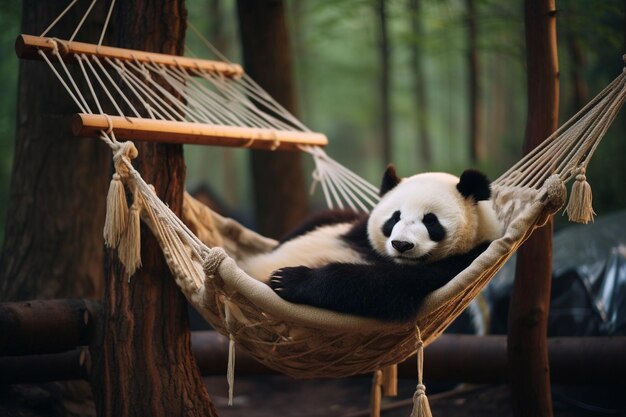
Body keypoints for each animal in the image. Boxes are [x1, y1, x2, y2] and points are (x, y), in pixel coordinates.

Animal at [235, 164, 502, 320]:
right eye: (395, 217)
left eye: (430, 221)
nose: (401, 245)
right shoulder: (357, 225)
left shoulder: (460, 266)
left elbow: (382, 286)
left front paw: (288, 279)